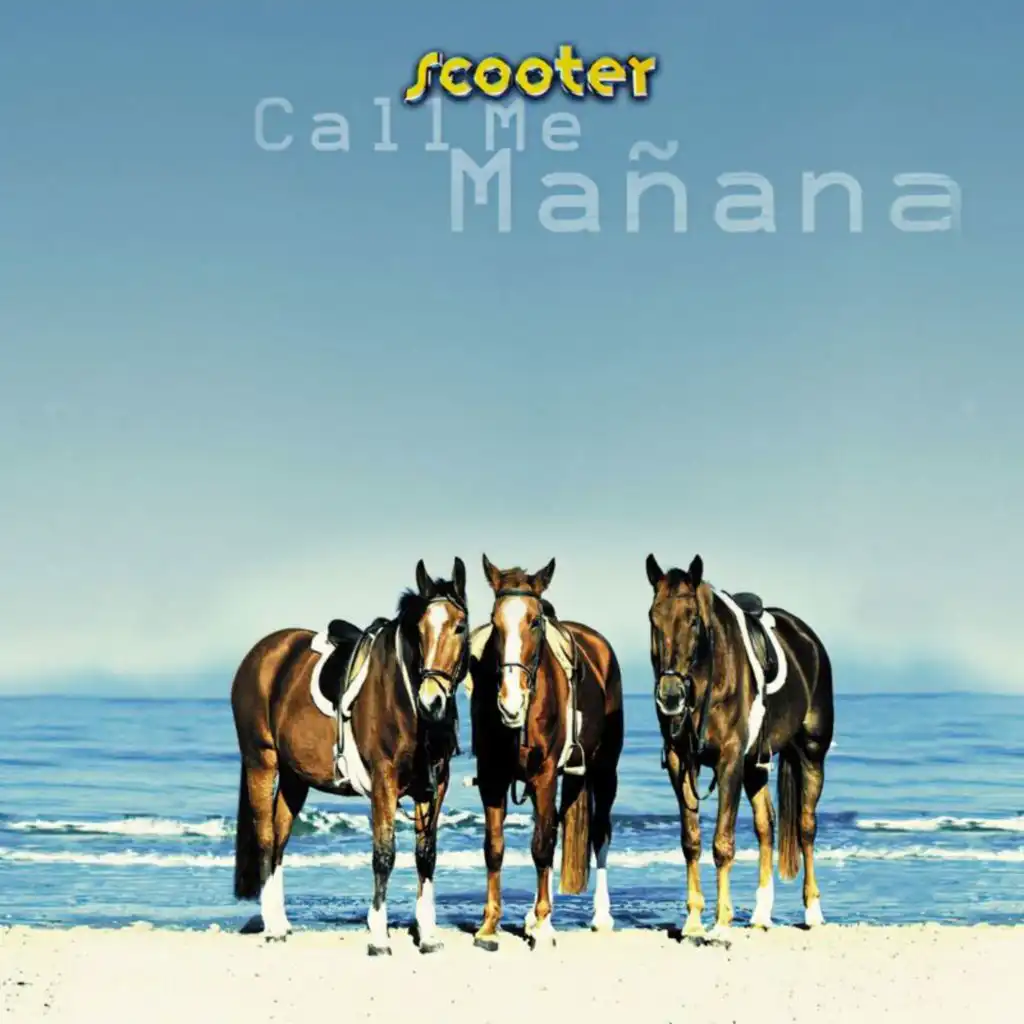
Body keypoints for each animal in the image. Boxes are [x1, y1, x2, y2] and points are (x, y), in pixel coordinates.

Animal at [230, 557, 470, 954]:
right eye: (419, 630)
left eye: (460, 627)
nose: (432, 701)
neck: (404, 700)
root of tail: (262, 654)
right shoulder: (384, 782)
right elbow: (384, 855)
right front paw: (378, 936)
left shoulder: (435, 786)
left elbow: (426, 855)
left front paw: (428, 934)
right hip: (260, 761)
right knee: (265, 837)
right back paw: (272, 927)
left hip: (295, 778)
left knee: (280, 838)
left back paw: (281, 921)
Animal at [468, 554, 624, 950]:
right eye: (494, 621)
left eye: (534, 621)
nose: (509, 702)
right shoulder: (492, 778)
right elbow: (495, 847)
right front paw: (490, 926)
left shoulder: (544, 775)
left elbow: (541, 846)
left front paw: (544, 926)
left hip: (604, 772)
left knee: (599, 833)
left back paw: (601, 916)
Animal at [645, 553, 835, 935]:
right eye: (653, 617)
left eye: (693, 619)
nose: (670, 695)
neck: (708, 677)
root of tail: (808, 639)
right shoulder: (680, 761)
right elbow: (691, 840)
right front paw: (693, 921)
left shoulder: (729, 760)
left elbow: (722, 842)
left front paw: (720, 924)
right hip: (755, 766)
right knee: (766, 826)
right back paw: (761, 915)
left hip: (811, 754)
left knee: (806, 827)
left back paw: (813, 912)